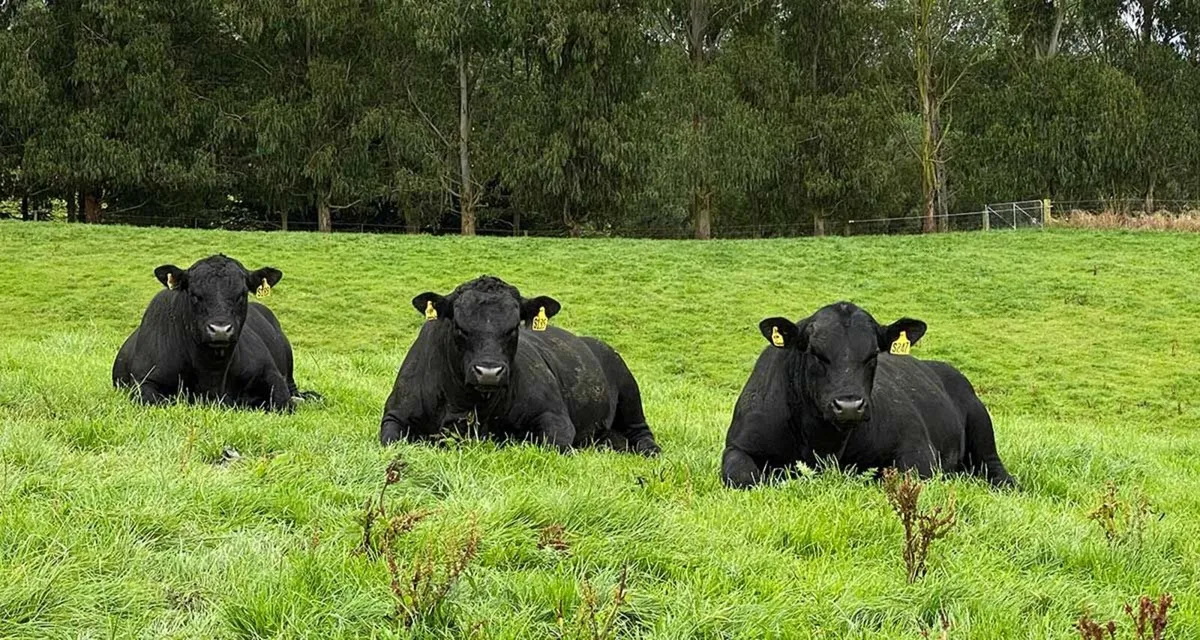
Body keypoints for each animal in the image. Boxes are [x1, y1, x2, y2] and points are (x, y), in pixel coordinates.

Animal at [112, 254, 315, 411]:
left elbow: (282, 402)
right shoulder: (144, 382)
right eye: (194, 294)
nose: (220, 330)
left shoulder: (271, 374)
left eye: (242, 294)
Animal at [379, 276, 661, 455]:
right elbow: (390, 442)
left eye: (514, 327)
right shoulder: (395, 415)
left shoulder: (556, 418)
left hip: (630, 393)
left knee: (641, 433)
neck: (466, 405)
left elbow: (553, 446)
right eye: (459, 326)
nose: (489, 373)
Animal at [721, 302, 1014, 489]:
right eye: (815, 352)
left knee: (993, 467)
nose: (849, 405)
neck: (823, 443)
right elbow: (743, 477)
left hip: (981, 427)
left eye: (873, 354)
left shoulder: (918, 449)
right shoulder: (738, 445)